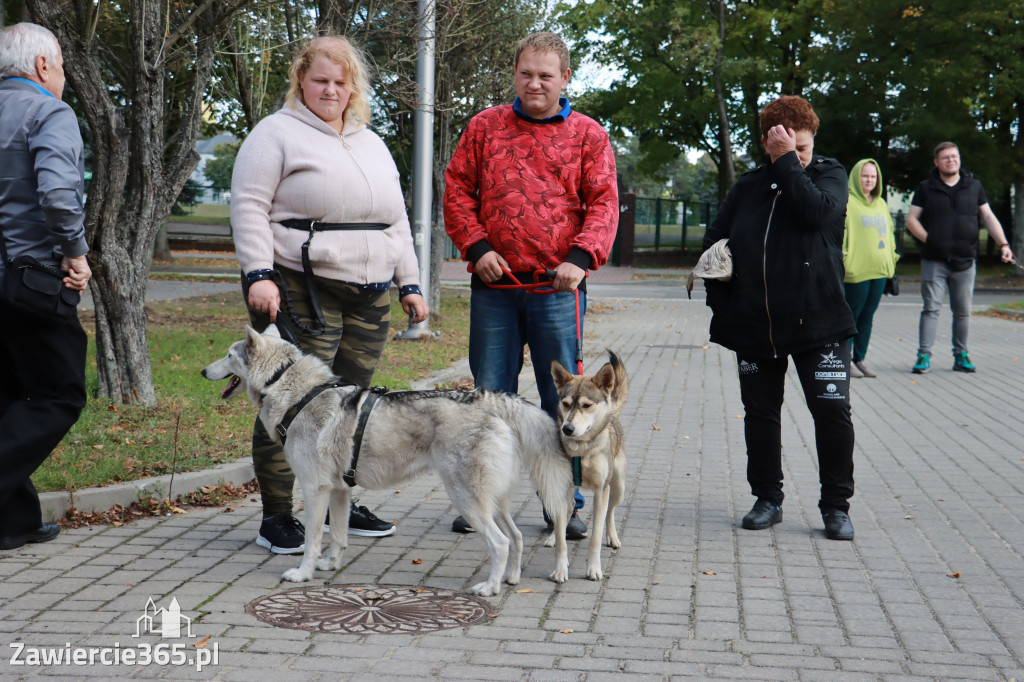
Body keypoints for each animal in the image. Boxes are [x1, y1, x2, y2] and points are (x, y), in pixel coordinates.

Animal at [199, 323, 577, 593]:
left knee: (500, 543)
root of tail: (486, 399)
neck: (296, 392)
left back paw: (490, 588)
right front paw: (329, 566)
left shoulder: (314, 489)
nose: (201, 372)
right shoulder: (340, 491)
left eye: (229, 355)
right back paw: (511, 580)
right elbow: (338, 537)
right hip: (493, 501)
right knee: (516, 537)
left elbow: (312, 541)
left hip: (467, 500)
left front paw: (303, 573)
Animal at [548, 350, 626, 577]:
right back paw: (552, 536)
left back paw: (613, 537)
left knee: (610, 512)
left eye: (586, 405)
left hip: (618, 487)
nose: (567, 429)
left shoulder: (601, 491)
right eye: (565, 404)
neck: (580, 450)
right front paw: (560, 569)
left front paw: (593, 568)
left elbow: (596, 537)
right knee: (566, 513)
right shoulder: (560, 486)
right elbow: (561, 539)